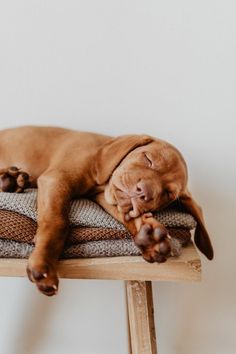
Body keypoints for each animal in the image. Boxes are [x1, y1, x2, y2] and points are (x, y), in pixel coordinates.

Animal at [0, 126, 214, 294]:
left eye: (168, 194)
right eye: (148, 159)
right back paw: (10, 179)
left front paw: (151, 238)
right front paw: (44, 262)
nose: (143, 192)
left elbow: (129, 216)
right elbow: (57, 221)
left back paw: (10, 181)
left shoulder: (106, 195)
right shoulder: (57, 179)